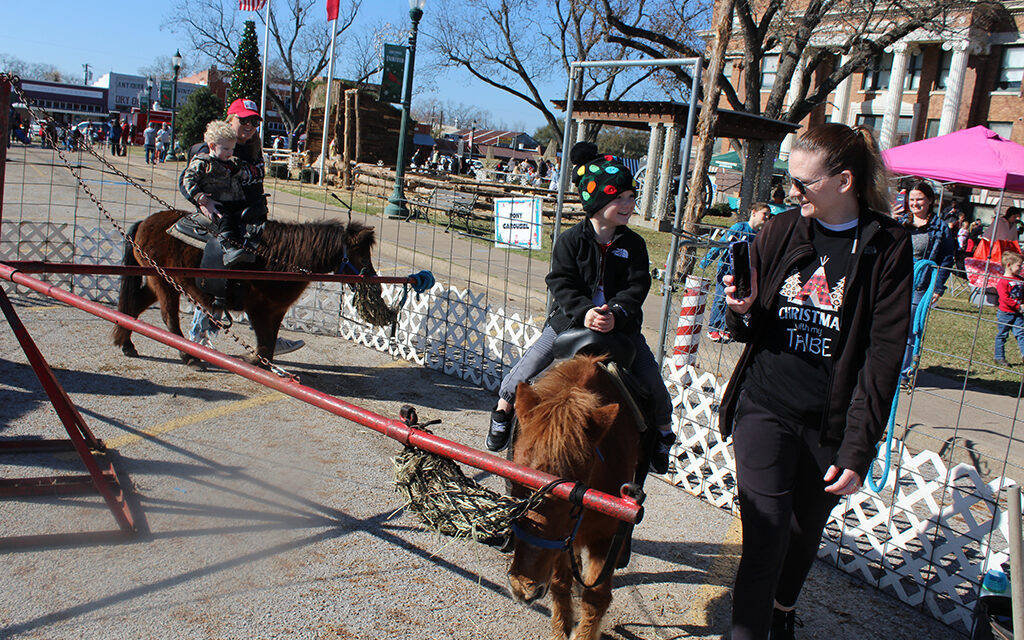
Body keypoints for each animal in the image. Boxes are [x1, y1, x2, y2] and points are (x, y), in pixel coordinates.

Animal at [112, 209, 382, 366]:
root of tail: (145, 223)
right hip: (164, 283)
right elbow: (264, 342)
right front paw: (254, 361)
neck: (279, 257)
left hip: (159, 280)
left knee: (134, 306)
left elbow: (269, 343)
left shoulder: (276, 311)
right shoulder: (259, 309)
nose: (374, 281)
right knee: (169, 317)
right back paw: (188, 356)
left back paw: (127, 344)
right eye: (360, 254)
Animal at [505, 354, 638, 638]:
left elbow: (596, 598)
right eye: (514, 484)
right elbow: (560, 583)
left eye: (573, 504)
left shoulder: (606, 539)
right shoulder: (562, 543)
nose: (523, 588)